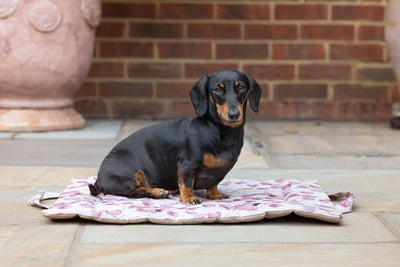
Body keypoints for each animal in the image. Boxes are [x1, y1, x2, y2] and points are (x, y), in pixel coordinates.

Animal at [88, 70, 262, 205]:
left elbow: (213, 184)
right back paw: (159, 192)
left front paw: (214, 194)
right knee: (134, 192)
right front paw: (188, 198)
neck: (219, 132)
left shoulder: (216, 173)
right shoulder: (187, 165)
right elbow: (186, 183)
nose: (234, 115)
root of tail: (100, 176)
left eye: (241, 87)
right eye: (217, 90)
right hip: (127, 177)